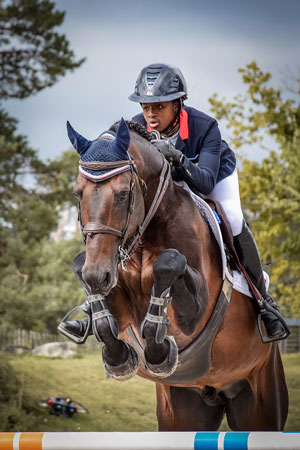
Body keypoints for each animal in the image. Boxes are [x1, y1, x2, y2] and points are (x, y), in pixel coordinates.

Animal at [62, 118, 288, 430]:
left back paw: (271, 319)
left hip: (261, 396)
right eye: (77, 193)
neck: (143, 240)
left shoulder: (197, 311)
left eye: (122, 194)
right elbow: (99, 307)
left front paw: (159, 350)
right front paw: (118, 358)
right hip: (182, 411)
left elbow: (168, 263)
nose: (98, 276)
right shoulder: (117, 300)